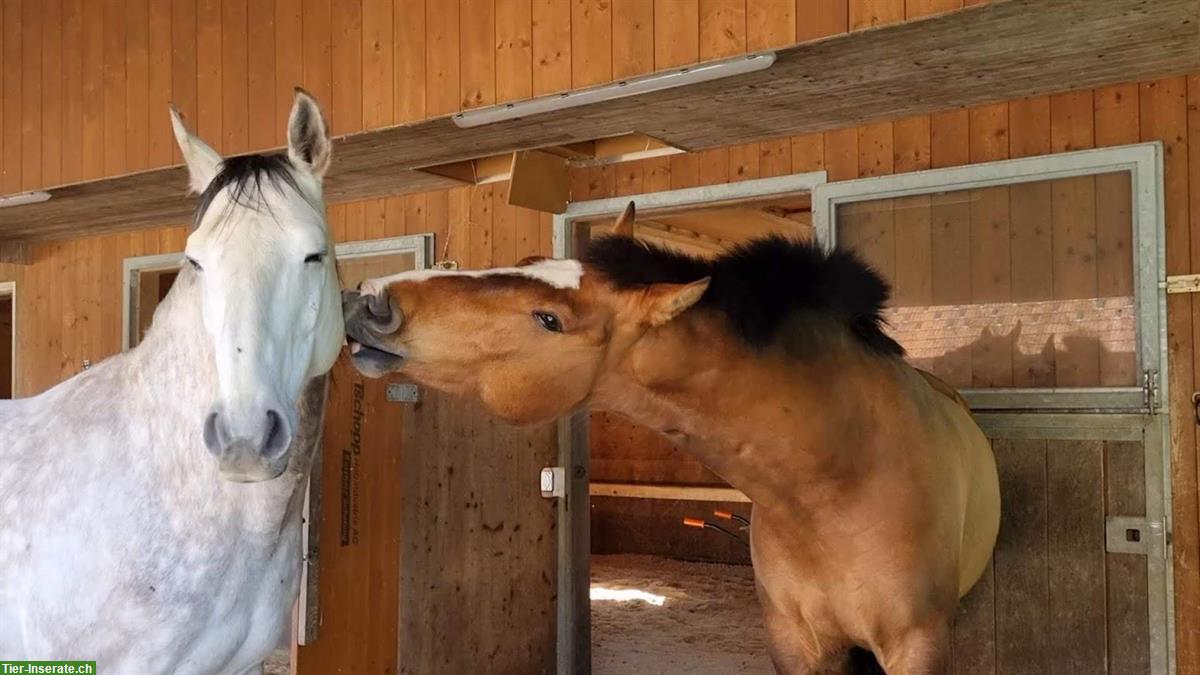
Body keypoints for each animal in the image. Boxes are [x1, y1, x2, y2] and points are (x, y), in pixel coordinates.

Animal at [343, 201, 998, 667]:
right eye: (528, 261)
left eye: (549, 320)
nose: (370, 301)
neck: (838, 477)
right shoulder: (793, 643)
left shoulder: (918, 645)